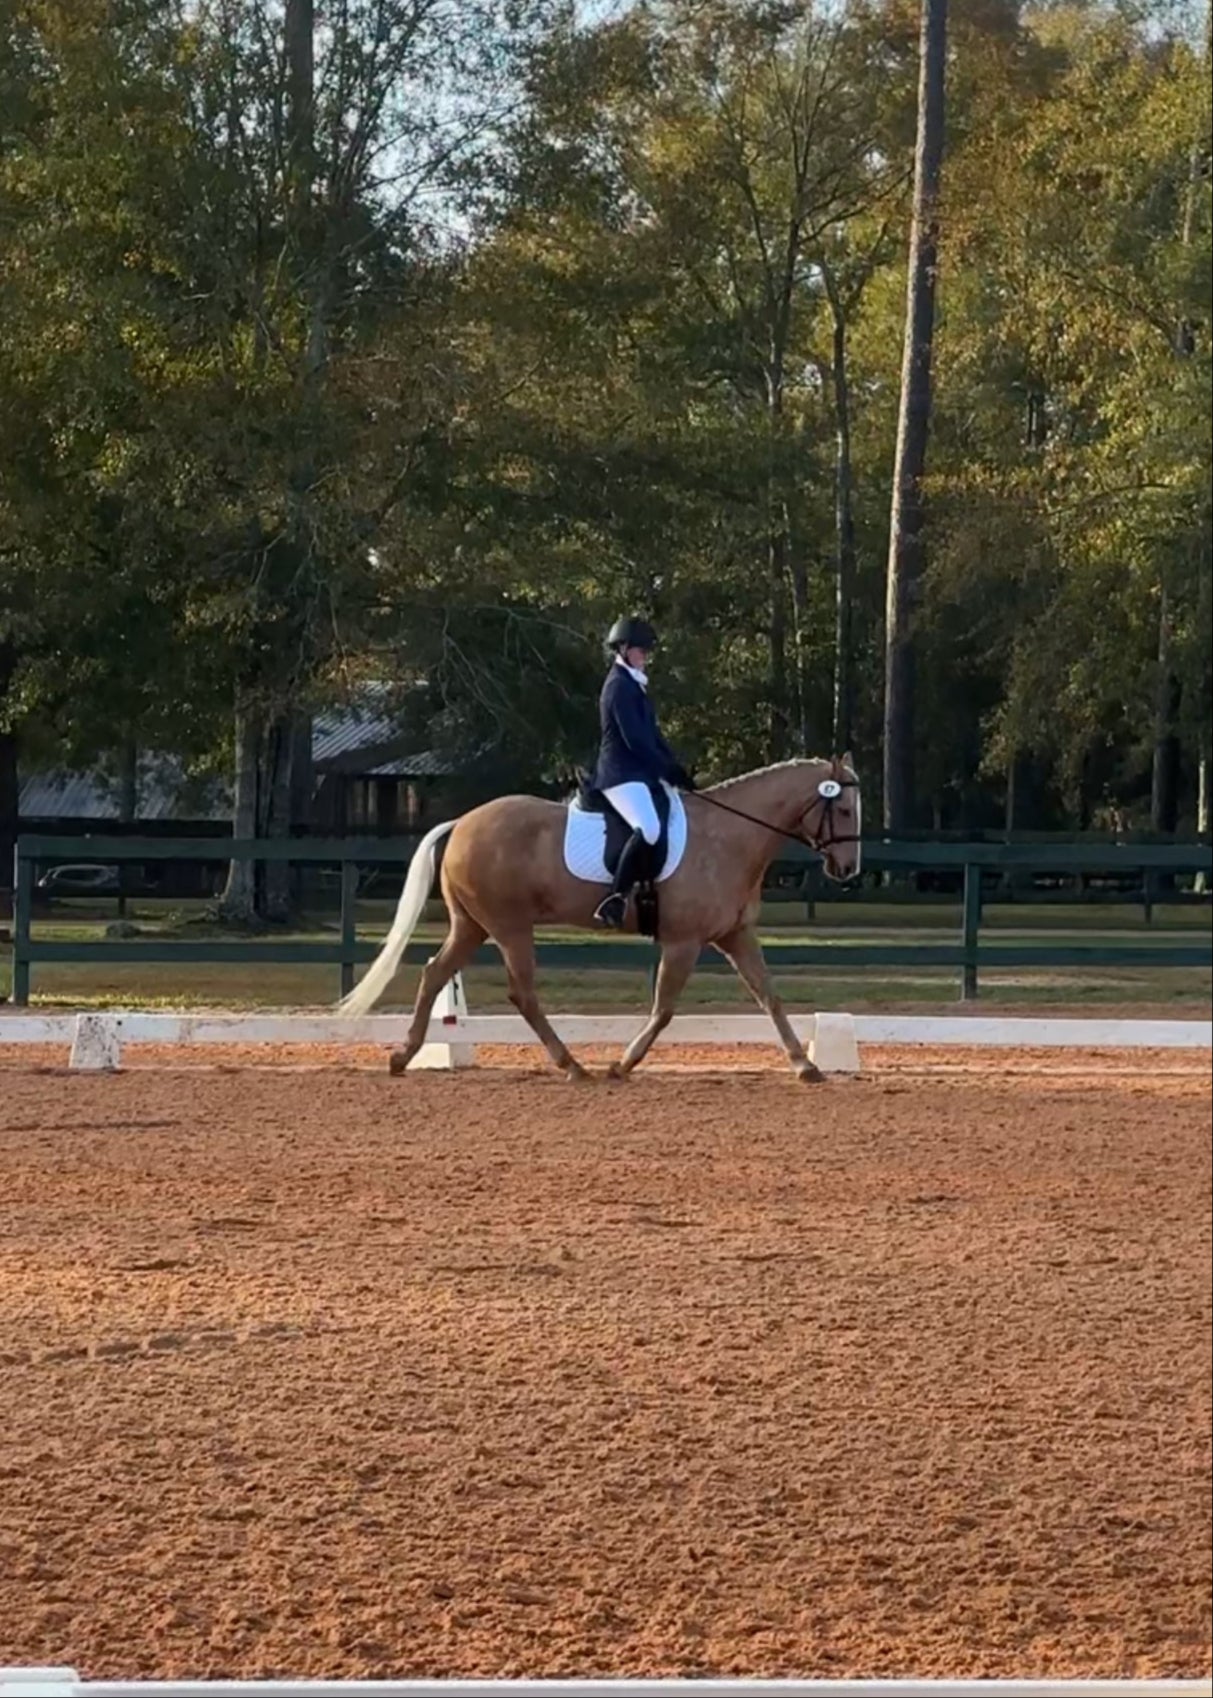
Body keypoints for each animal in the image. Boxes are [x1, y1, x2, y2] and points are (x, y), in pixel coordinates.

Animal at [338, 755, 862, 1082]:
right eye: (843, 808)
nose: (848, 871)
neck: (729, 836)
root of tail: (463, 822)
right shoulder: (684, 941)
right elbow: (664, 1009)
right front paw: (622, 1065)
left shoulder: (734, 935)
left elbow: (769, 996)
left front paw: (805, 1066)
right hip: (509, 927)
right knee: (522, 993)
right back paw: (573, 1066)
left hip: (473, 925)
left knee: (434, 974)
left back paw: (402, 1057)